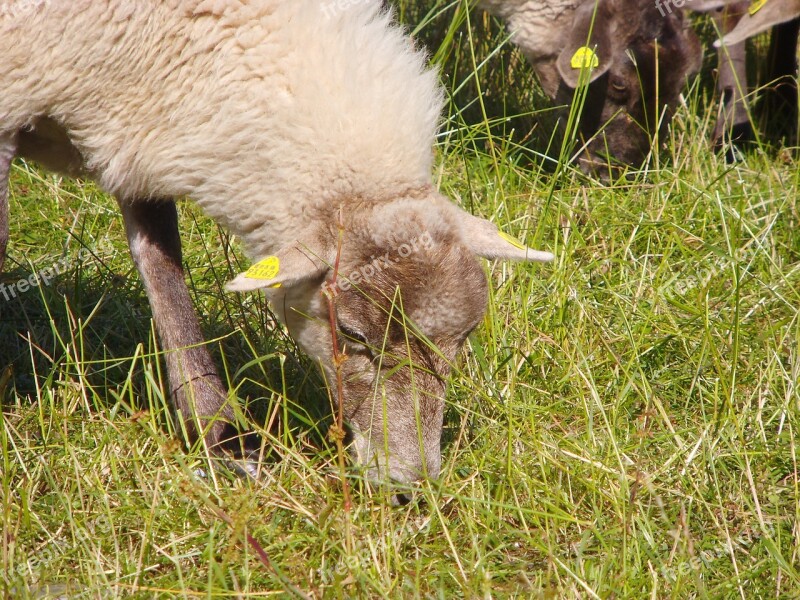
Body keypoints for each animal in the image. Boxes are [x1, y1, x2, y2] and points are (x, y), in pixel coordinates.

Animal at [0, 0, 552, 502]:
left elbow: (161, 261)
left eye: (466, 336)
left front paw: (216, 432)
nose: (410, 487)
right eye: (352, 333)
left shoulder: (139, 121)